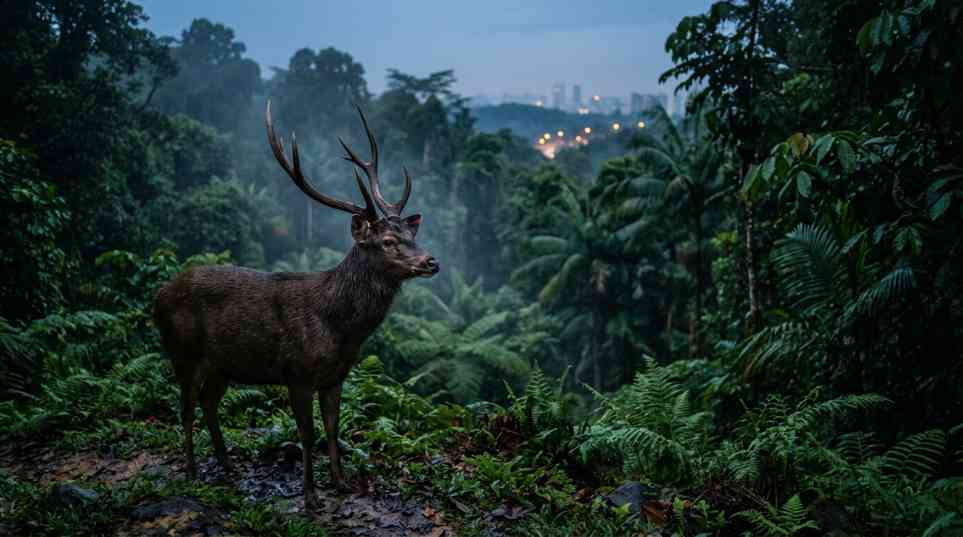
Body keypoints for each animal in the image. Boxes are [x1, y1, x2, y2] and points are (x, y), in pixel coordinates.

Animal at [153, 101, 439, 508]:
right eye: (386, 241)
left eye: (411, 233)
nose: (431, 262)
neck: (338, 329)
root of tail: (157, 297)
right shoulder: (296, 373)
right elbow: (307, 434)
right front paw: (310, 496)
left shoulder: (335, 376)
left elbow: (333, 429)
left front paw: (341, 483)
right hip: (183, 352)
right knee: (186, 406)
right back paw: (192, 470)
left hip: (222, 363)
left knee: (209, 403)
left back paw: (226, 465)